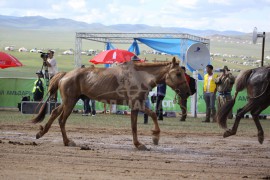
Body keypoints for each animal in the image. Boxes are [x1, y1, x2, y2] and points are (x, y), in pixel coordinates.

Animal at [31, 58, 191, 150]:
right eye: (178, 73)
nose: (188, 91)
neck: (139, 76)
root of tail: (65, 75)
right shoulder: (136, 104)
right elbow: (150, 116)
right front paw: (153, 138)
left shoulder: (136, 105)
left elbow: (137, 124)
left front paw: (141, 142)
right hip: (70, 102)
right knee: (61, 120)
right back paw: (67, 141)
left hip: (69, 101)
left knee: (54, 113)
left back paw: (41, 133)